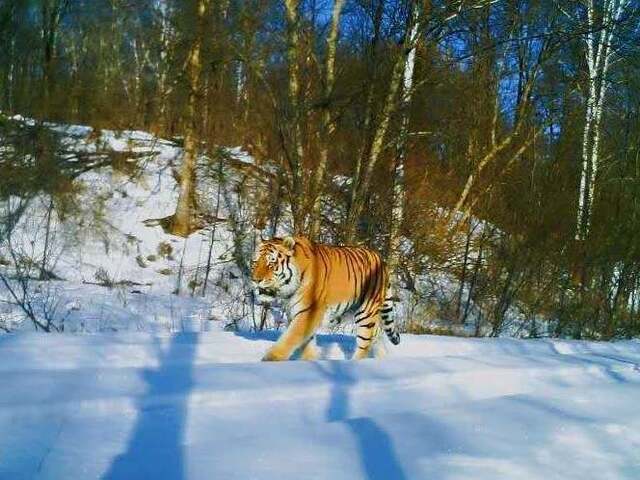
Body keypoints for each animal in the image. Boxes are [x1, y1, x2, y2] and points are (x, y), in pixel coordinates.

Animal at [251, 234, 398, 362]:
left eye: (271, 264)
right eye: (255, 262)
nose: (255, 280)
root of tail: (382, 261)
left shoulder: (308, 311)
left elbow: (290, 338)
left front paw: (270, 360)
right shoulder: (296, 312)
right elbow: (306, 343)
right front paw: (309, 361)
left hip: (366, 312)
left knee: (364, 344)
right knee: (377, 333)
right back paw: (382, 359)